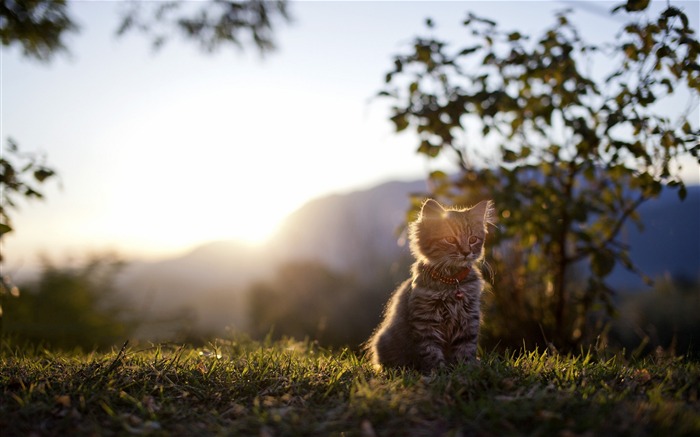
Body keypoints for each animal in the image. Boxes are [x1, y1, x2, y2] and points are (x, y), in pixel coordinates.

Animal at [366, 198, 492, 372]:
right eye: (450, 240)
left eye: (473, 240)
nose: (466, 252)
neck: (451, 281)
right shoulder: (425, 320)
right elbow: (430, 351)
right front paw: (439, 371)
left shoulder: (468, 317)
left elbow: (465, 349)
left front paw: (465, 369)